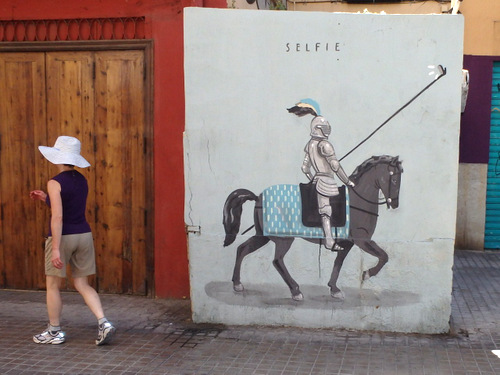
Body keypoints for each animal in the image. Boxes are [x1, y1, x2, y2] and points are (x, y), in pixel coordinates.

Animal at [222, 156, 402, 302]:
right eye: (394, 180)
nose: (394, 204)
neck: (357, 201)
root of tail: (259, 197)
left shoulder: (346, 243)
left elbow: (338, 263)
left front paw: (334, 289)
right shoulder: (362, 240)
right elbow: (384, 256)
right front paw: (367, 273)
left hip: (262, 236)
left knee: (242, 249)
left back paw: (237, 284)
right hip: (284, 239)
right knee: (277, 261)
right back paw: (295, 291)